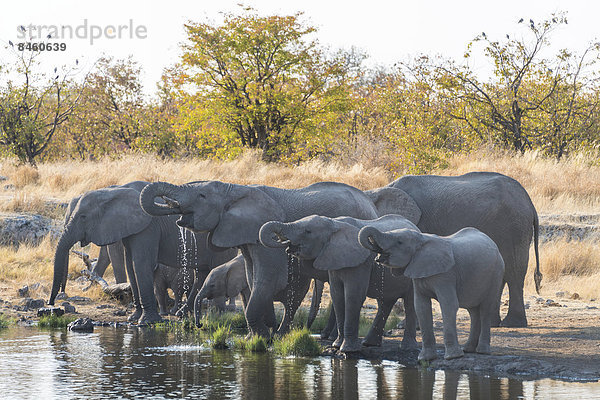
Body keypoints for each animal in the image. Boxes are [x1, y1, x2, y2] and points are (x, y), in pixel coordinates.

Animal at [49, 183, 237, 324]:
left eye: (83, 217)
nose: (52, 305)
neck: (115, 193)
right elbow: (130, 266)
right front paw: (134, 318)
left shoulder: (147, 229)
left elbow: (140, 264)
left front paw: (146, 322)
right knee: (202, 274)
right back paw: (182, 314)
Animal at [138, 182, 378, 338]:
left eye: (201, 196)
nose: (196, 326)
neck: (236, 189)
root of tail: (372, 206)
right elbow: (253, 278)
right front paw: (258, 334)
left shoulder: (262, 234)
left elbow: (269, 278)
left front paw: (262, 336)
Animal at [360, 227, 506, 360]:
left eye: (399, 242)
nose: (377, 258)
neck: (422, 239)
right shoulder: (418, 273)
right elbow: (421, 307)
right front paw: (425, 359)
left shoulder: (446, 274)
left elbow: (448, 304)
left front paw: (452, 357)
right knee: (473, 311)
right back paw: (468, 349)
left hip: (497, 273)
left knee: (485, 308)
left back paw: (482, 351)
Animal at [364, 172, 540, 328]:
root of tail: (529, 201)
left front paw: (406, 327)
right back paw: (492, 324)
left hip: (514, 226)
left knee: (514, 270)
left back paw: (512, 323)